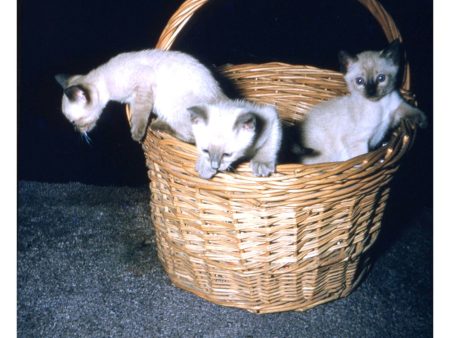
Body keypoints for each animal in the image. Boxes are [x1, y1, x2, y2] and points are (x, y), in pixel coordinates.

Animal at [55, 48, 227, 141]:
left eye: (74, 122)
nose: (77, 131)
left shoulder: (143, 86)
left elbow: (140, 115)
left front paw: (136, 134)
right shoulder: (134, 98)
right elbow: (137, 111)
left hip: (175, 110)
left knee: (190, 137)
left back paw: (158, 126)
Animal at [298, 40, 428, 164]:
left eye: (381, 78)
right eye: (360, 81)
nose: (371, 92)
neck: (379, 105)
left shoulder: (395, 109)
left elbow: (410, 109)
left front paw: (423, 121)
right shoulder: (358, 140)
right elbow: (361, 158)